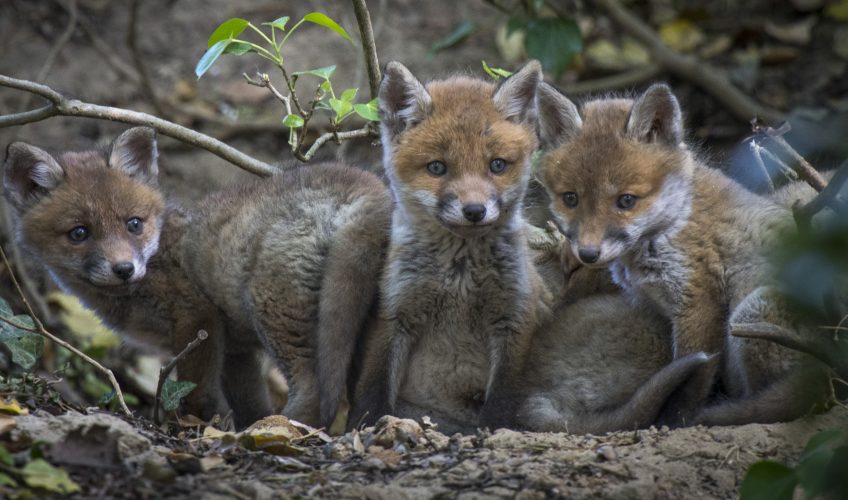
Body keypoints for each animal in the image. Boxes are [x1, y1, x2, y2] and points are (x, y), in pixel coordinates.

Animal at [3, 127, 391, 429]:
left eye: (133, 224)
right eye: (79, 233)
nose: (124, 269)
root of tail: (362, 182)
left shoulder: (197, 319)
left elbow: (197, 393)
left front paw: (198, 426)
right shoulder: (236, 351)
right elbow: (249, 402)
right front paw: (241, 426)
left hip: (275, 309)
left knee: (313, 389)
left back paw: (280, 429)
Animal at [349, 61, 553, 433]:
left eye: (497, 165)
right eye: (437, 168)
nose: (474, 211)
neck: (460, 277)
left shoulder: (514, 316)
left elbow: (501, 399)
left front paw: (493, 431)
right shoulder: (395, 311)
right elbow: (374, 388)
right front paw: (364, 427)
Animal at [534, 82, 830, 426]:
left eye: (626, 201)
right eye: (571, 199)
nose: (587, 254)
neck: (674, 219)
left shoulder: (698, 303)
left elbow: (690, 385)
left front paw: (674, 421)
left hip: (750, 312)